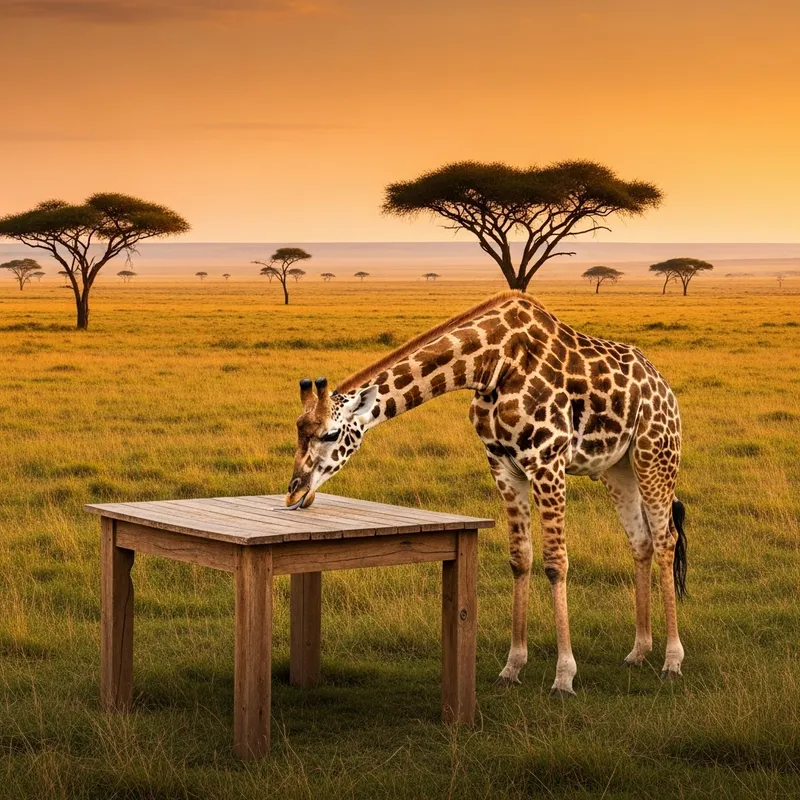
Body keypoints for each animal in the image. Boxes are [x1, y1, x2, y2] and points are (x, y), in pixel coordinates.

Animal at [286, 291, 688, 694]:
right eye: (298, 430)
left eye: (330, 434)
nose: (294, 492)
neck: (491, 365)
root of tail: (661, 383)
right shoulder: (503, 466)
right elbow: (520, 558)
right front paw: (512, 667)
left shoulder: (548, 461)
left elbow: (555, 562)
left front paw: (564, 676)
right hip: (616, 469)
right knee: (641, 541)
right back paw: (638, 651)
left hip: (655, 454)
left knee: (665, 539)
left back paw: (671, 661)